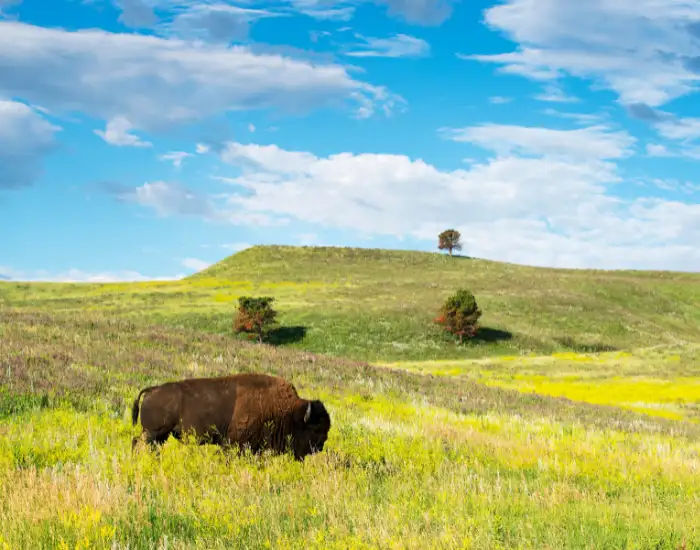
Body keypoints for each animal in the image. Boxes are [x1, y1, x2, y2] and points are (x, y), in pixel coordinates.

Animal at [133, 376, 332, 462]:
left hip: (160, 435)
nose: (320, 446)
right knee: (138, 443)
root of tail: (152, 390)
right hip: (153, 432)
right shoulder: (236, 442)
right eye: (315, 428)